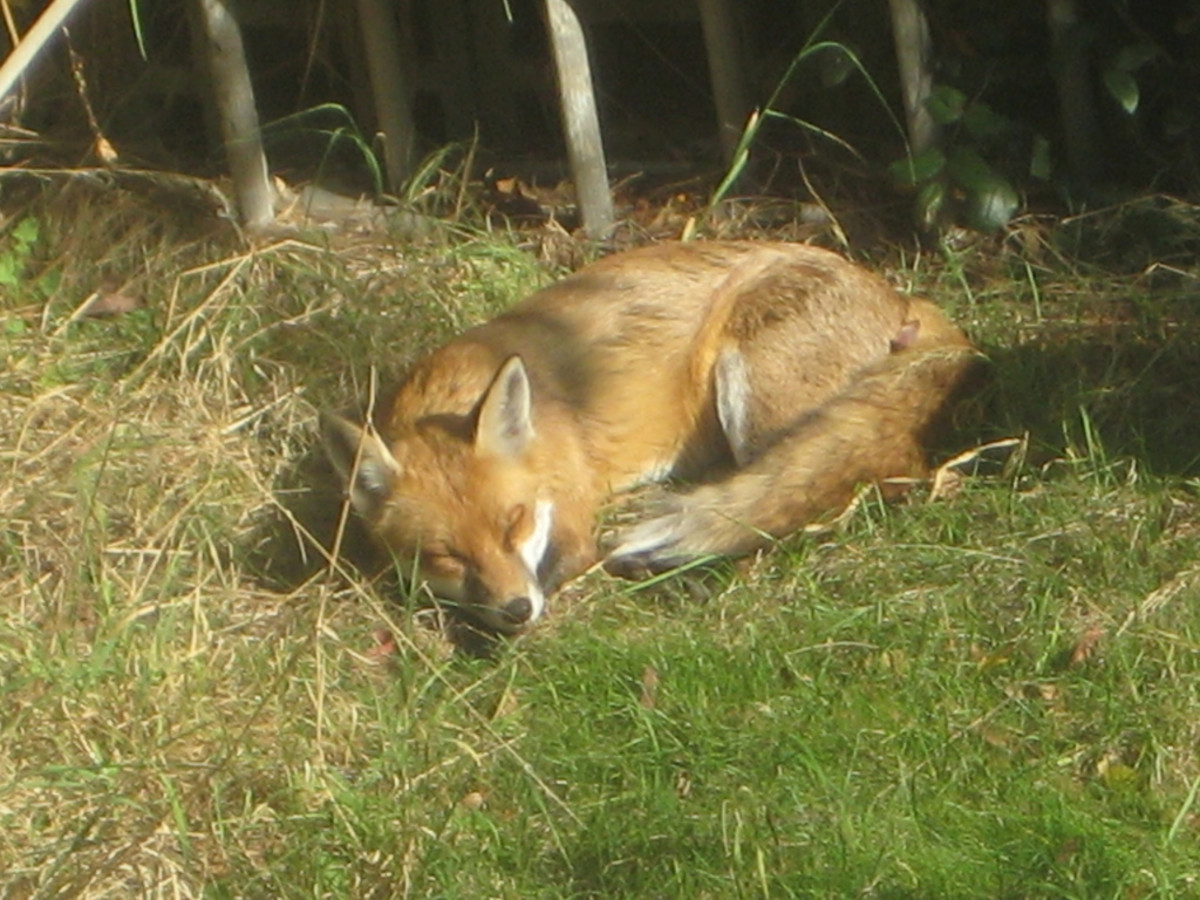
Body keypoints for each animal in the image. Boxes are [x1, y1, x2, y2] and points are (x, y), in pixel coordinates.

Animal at [321, 241, 980, 633]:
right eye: (445, 556)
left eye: (514, 524)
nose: (517, 611)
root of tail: (898, 295)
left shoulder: (572, 523)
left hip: (755, 395)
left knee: (838, 485)